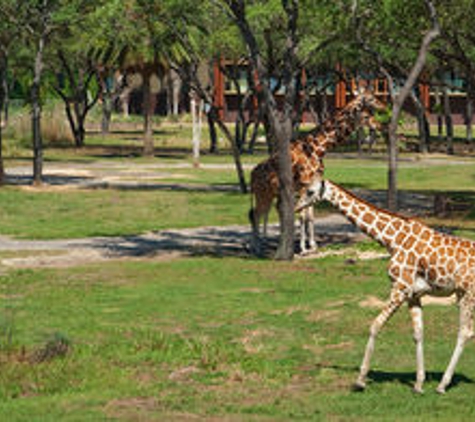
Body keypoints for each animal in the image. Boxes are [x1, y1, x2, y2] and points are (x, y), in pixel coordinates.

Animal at [249, 90, 386, 254]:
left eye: (371, 112)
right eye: (366, 115)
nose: (379, 123)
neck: (318, 149)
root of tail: (252, 175)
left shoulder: (314, 183)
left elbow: (310, 215)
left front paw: (312, 245)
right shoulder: (304, 183)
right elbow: (303, 216)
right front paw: (303, 248)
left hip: (270, 193)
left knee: (266, 212)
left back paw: (264, 243)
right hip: (262, 193)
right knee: (256, 214)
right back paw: (256, 247)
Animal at [300, 176, 475, 394]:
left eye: (309, 191)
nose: (298, 206)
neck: (392, 240)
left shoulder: (399, 289)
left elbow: (375, 325)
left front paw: (360, 380)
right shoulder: (413, 294)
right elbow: (418, 333)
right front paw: (418, 384)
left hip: (467, 294)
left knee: (465, 332)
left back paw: (442, 385)